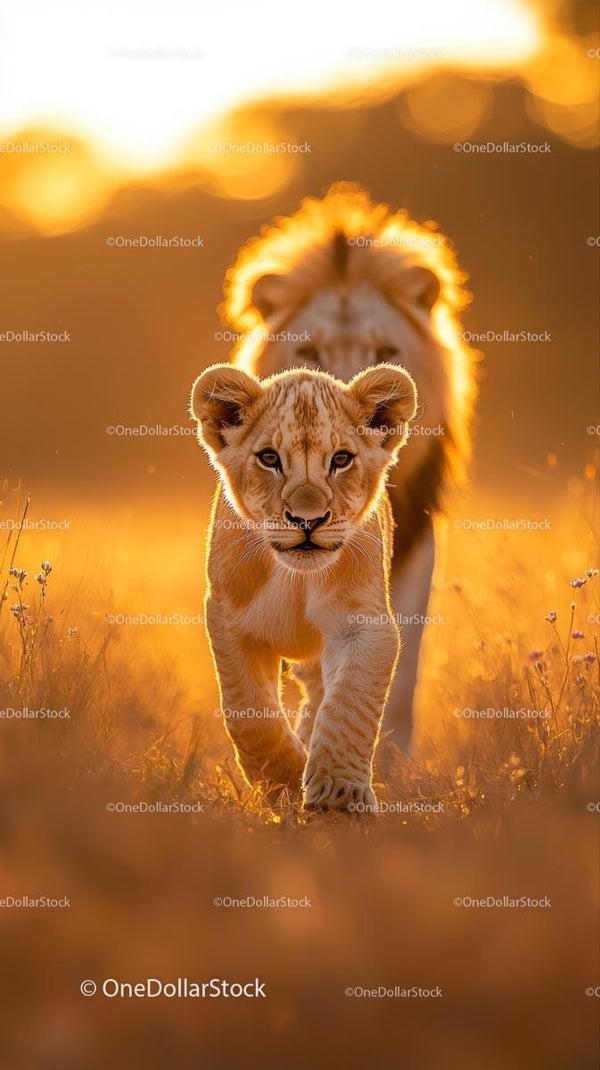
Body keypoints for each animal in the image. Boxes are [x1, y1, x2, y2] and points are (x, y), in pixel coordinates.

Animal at [190, 361, 417, 810]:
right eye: (269, 458)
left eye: (341, 459)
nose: (307, 520)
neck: (296, 577)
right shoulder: (230, 618)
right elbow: (247, 710)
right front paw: (283, 778)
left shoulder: (363, 623)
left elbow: (350, 703)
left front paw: (338, 796)